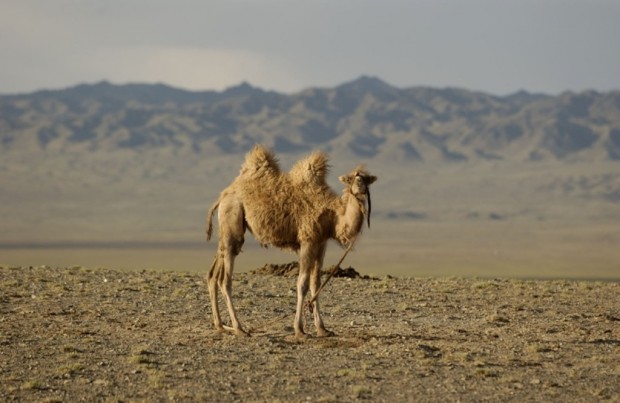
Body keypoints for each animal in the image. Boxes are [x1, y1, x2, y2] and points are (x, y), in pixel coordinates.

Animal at [206, 144, 376, 340]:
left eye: (366, 179)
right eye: (350, 179)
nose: (359, 185)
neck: (333, 216)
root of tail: (223, 195)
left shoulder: (321, 243)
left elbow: (316, 283)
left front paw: (322, 329)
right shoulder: (307, 240)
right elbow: (302, 284)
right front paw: (299, 330)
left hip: (225, 232)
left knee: (213, 274)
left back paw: (221, 326)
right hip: (233, 218)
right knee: (225, 279)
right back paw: (239, 328)